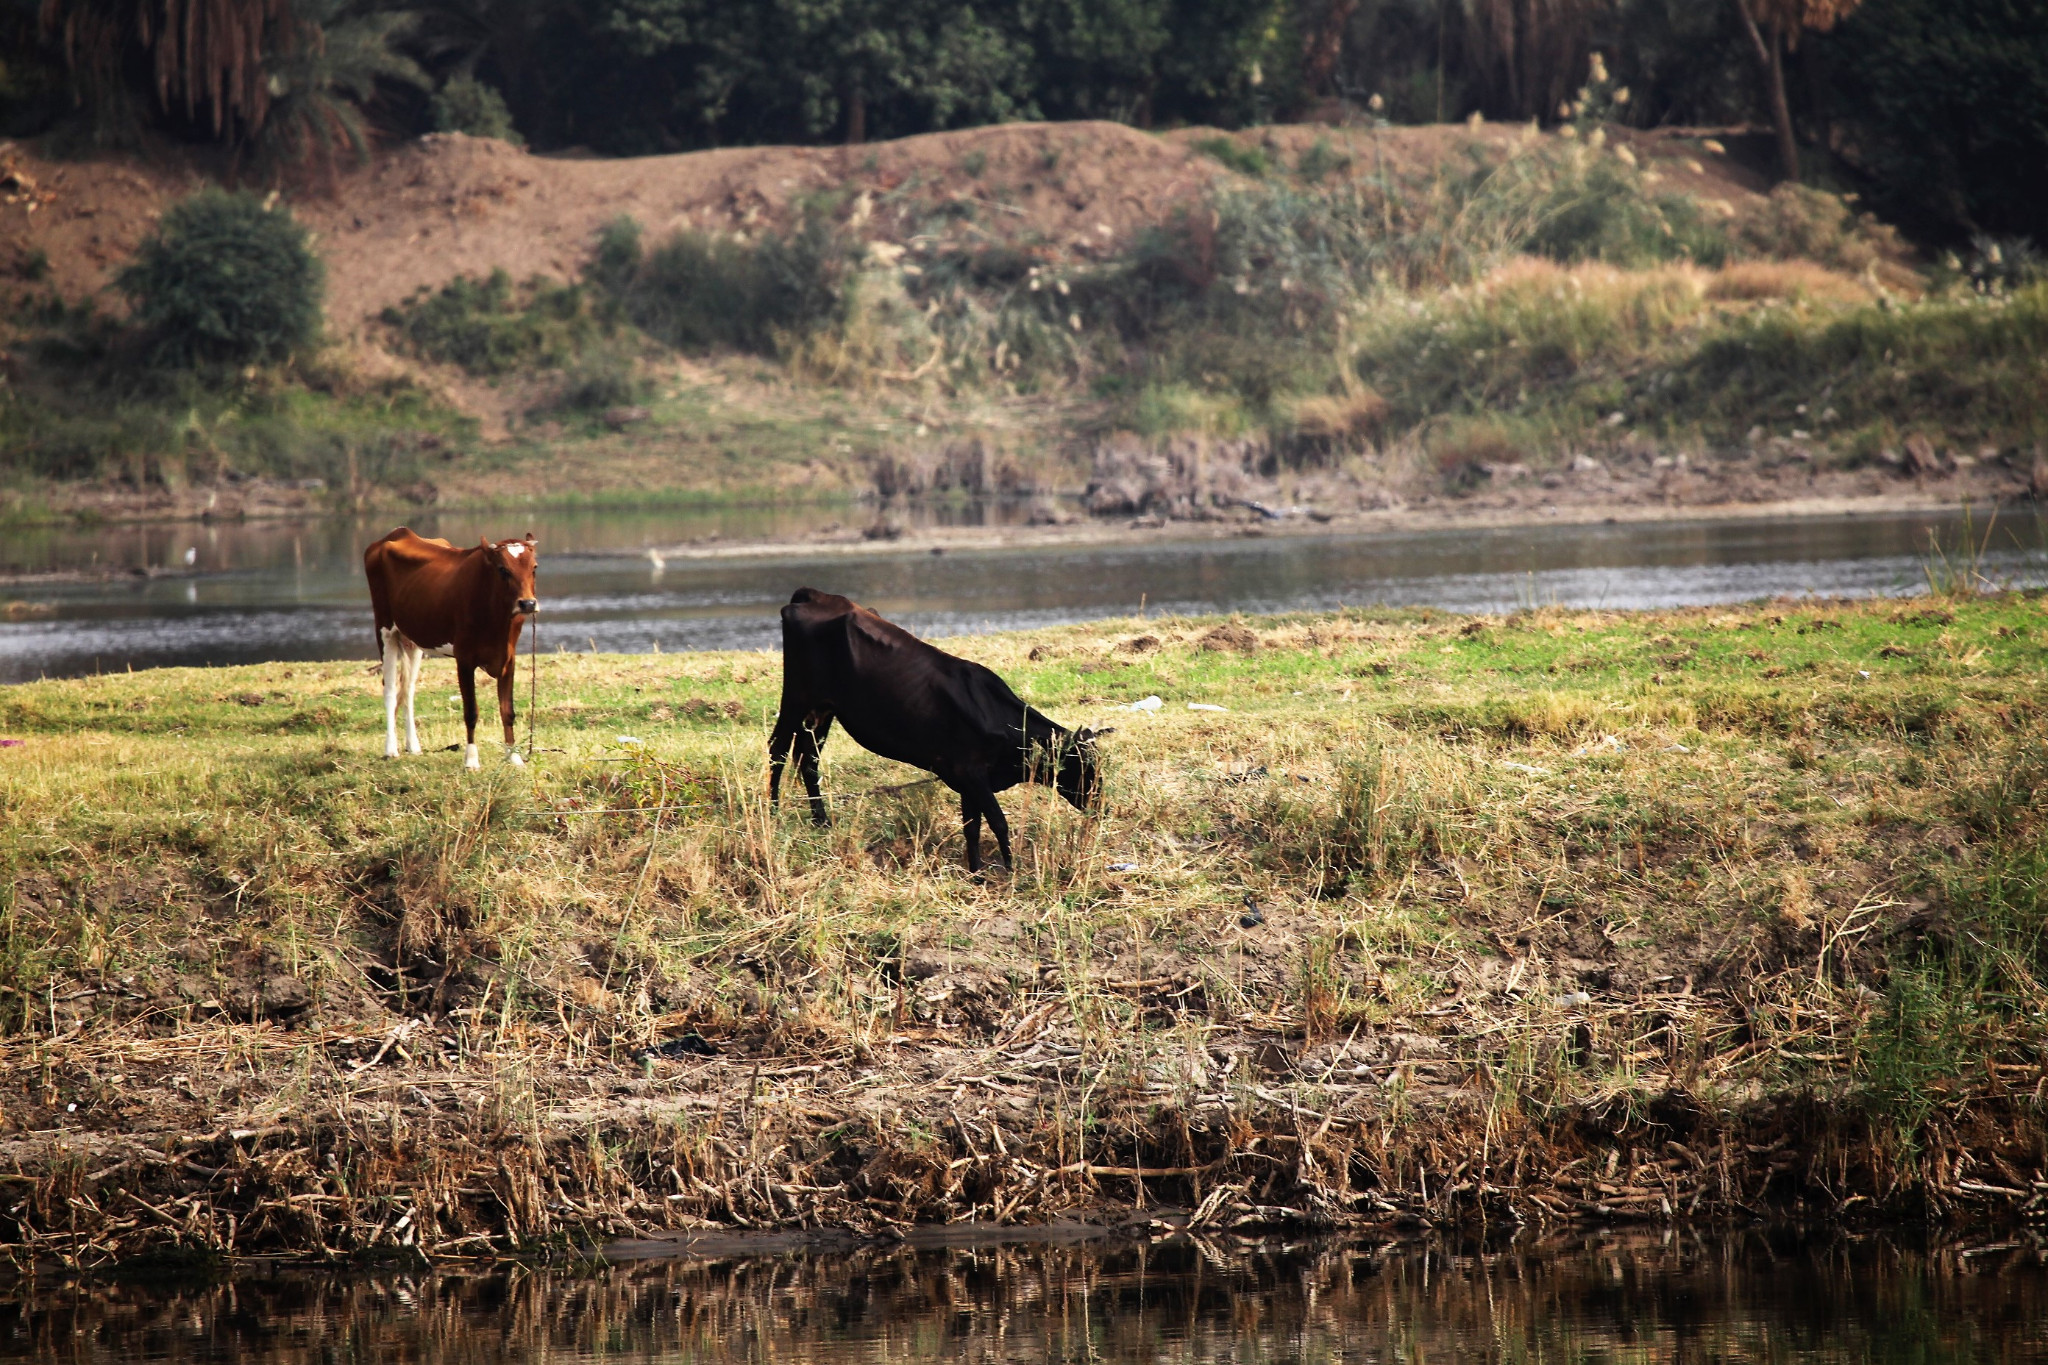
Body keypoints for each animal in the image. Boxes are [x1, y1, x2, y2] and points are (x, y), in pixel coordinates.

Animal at [364, 532, 536, 773]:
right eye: (503, 569)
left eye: (534, 568)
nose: (528, 603)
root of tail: (398, 533)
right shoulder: (464, 659)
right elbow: (471, 712)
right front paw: (471, 760)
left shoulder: (508, 658)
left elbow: (508, 711)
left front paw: (514, 758)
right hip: (385, 628)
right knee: (390, 689)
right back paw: (390, 749)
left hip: (412, 639)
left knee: (408, 689)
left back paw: (413, 745)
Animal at [770, 589, 1114, 875]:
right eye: (1085, 768)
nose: (1102, 807)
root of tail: (814, 595)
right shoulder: (971, 772)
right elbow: (998, 822)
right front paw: (1010, 869)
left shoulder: (968, 778)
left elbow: (972, 826)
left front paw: (976, 872)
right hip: (797, 697)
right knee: (778, 751)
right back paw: (773, 815)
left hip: (823, 709)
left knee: (808, 758)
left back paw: (821, 821)